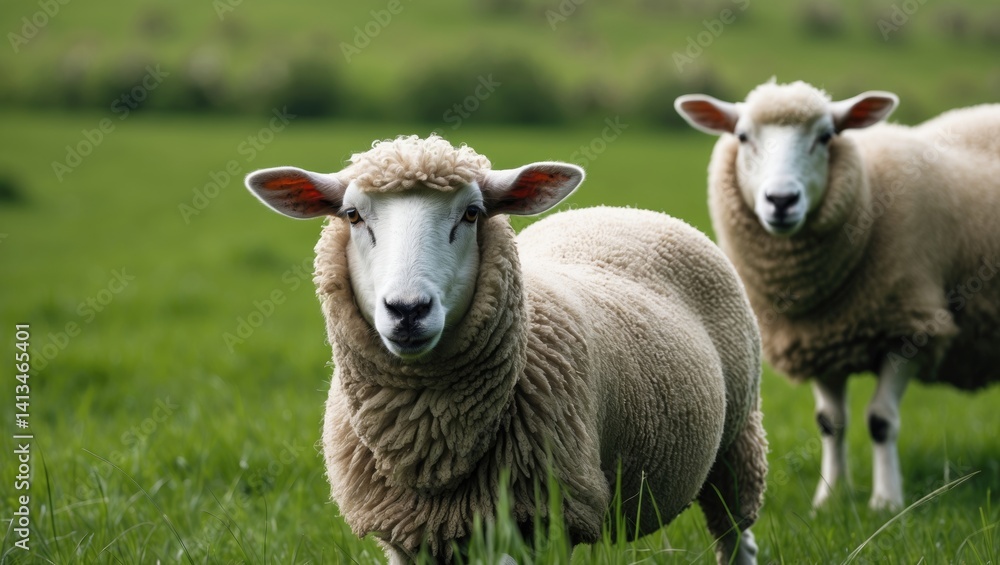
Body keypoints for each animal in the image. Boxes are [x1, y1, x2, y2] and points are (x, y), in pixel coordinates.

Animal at [244, 134, 767, 564]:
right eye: (352, 216)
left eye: (472, 213)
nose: (408, 310)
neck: (431, 439)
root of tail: (623, 210)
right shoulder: (405, 530)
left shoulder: (535, 518)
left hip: (737, 441)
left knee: (736, 537)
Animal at [675, 80, 1000, 511]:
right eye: (743, 136)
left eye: (826, 136)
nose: (782, 200)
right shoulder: (817, 341)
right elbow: (830, 423)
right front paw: (828, 500)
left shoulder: (909, 328)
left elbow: (881, 421)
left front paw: (886, 501)